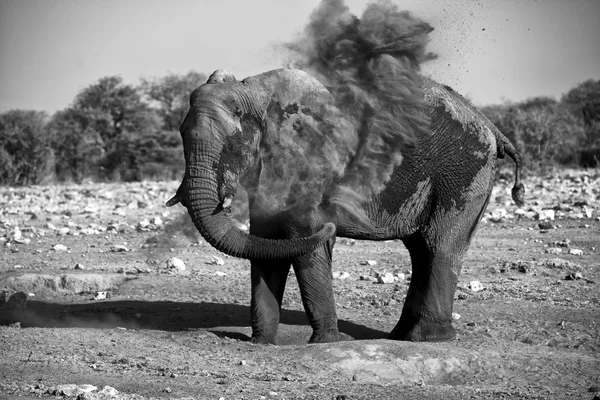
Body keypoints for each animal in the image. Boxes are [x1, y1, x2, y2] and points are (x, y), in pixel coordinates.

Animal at [166, 67, 524, 342]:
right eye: (181, 134)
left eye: (234, 145)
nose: (334, 221)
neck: (255, 91)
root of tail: (488, 123)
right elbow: (266, 242)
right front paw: (261, 343)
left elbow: (303, 239)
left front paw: (327, 342)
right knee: (421, 250)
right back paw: (401, 336)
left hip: (462, 172)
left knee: (439, 246)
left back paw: (427, 339)